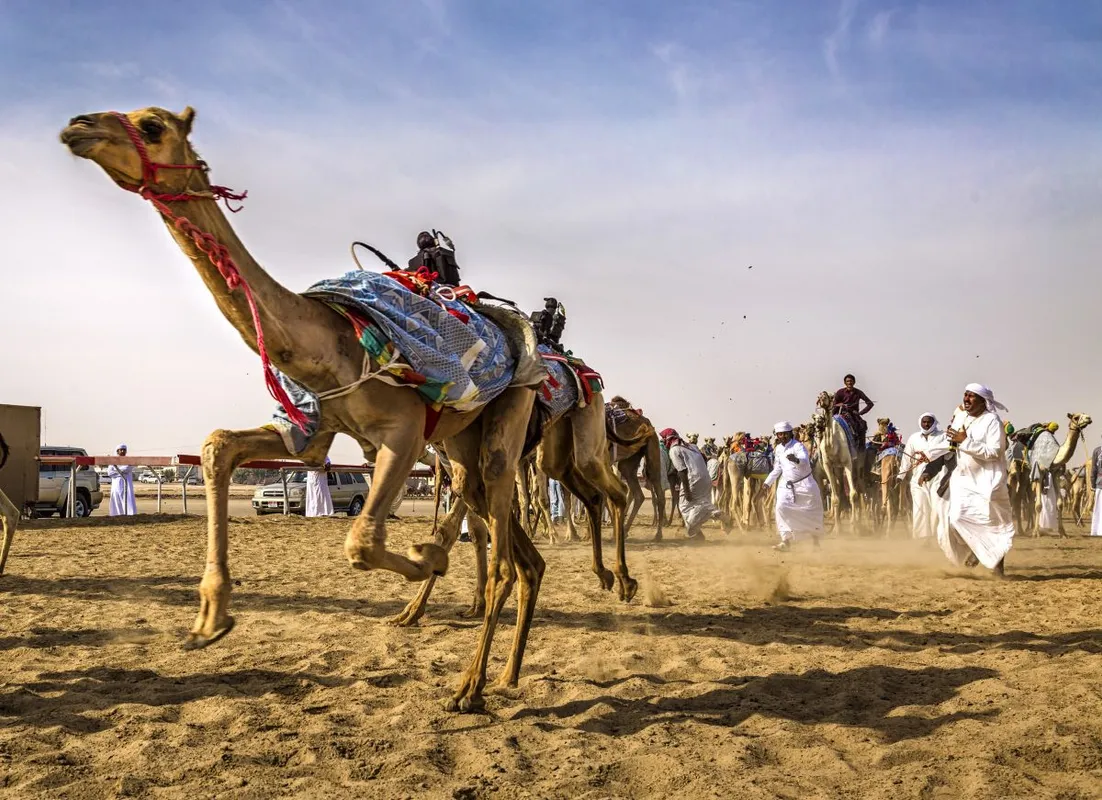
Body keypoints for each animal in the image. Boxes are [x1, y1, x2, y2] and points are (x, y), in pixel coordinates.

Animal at [61, 106, 568, 712]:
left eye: (153, 125)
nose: (78, 126)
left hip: (509, 413)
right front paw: (210, 617)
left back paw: (469, 688)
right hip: (462, 443)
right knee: (519, 552)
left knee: (503, 555)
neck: (329, 344)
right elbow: (218, 444)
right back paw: (507, 674)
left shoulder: (402, 431)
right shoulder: (315, 426)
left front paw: (429, 556)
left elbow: (362, 541)